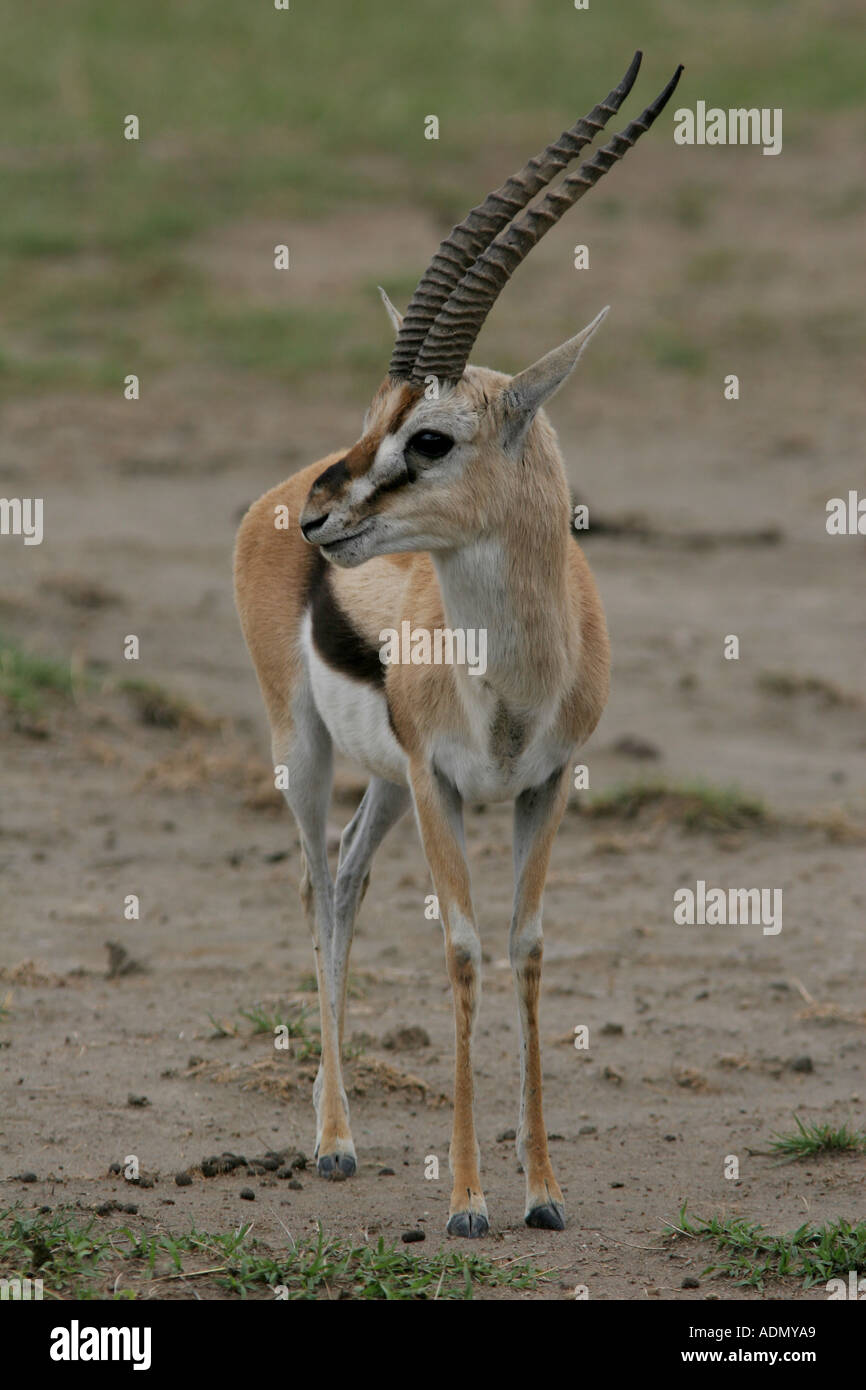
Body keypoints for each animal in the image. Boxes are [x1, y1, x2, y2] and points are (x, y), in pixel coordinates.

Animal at [234, 52, 682, 1237]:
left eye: (429, 438)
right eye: (373, 415)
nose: (321, 514)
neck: (514, 672)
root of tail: (266, 492)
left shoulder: (545, 783)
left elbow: (524, 947)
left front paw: (543, 1193)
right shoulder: (444, 784)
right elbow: (462, 948)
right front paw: (471, 1201)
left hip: (386, 785)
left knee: (346, 880)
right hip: (304, 752)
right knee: (315, 887)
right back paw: (334, 1140)